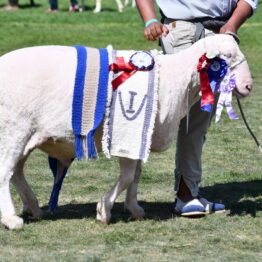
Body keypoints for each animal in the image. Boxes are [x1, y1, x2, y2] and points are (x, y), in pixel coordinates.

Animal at [0, 34, 252, 229]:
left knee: (16, 172)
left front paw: (134, 208)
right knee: (5, 172)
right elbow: (128, 176)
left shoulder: (142, 135)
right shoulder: (128, 134)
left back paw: (33, 208)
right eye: (227, 57)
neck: (177, 78)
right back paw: (12, 219)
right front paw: (104, 209)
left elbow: (136, 176)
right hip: (14, 129)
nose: (248, 86)